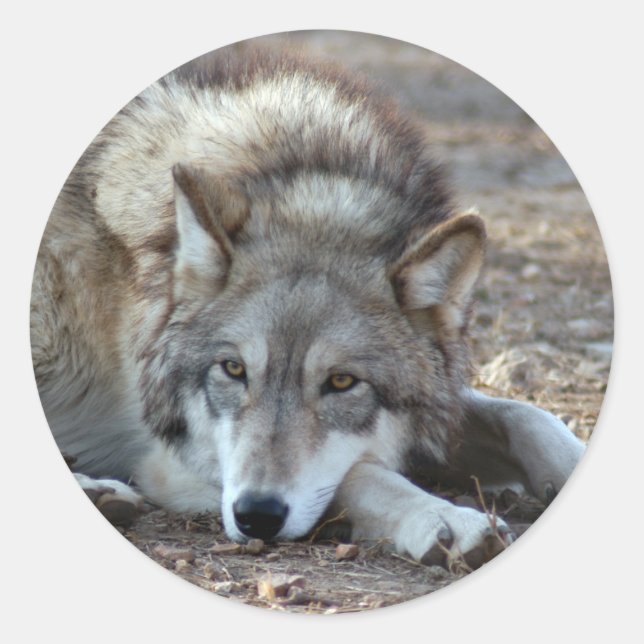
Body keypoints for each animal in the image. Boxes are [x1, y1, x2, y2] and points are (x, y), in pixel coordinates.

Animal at [31, 45, 585, 569]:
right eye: (233, 370)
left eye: (341, 381)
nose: (256, 515)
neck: (301, 180)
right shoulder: (174, 457)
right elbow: (362, 474)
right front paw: (444, 517)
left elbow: (523, 414)